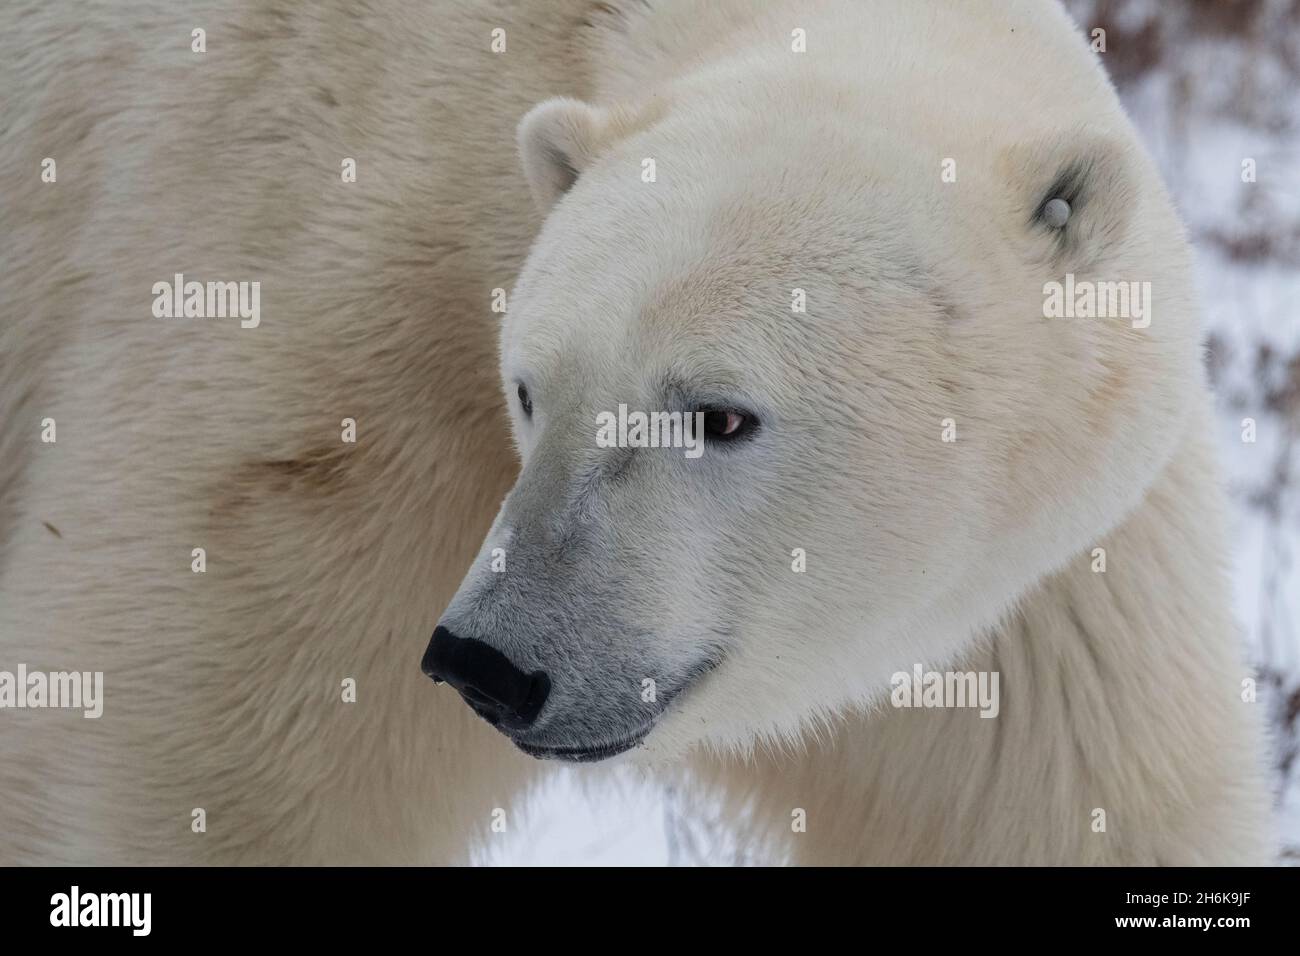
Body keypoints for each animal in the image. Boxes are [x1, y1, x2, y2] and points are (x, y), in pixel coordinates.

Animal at [0, 0, 1274, 868]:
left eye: (720, 412)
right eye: (528, 388)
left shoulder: (1040, 602)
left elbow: (1074, 806)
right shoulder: (345, 382)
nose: (491, 661)